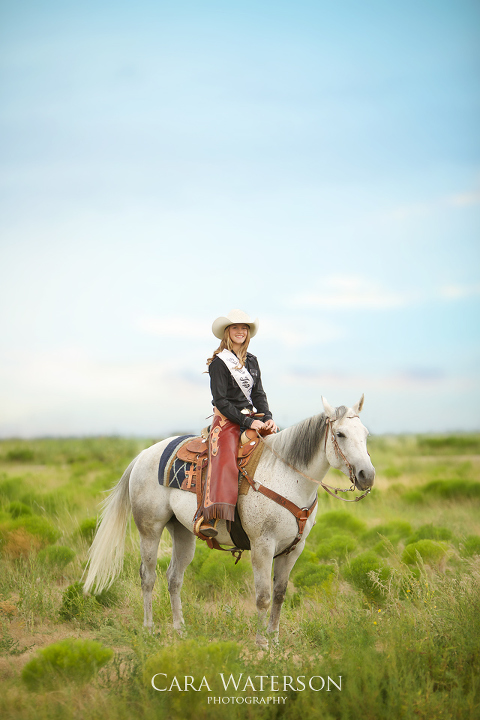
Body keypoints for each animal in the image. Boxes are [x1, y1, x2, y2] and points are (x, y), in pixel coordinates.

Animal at [83, 394, 376, 648]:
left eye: (365, 434)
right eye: (340, 434)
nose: (367, 475)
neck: (286, 476)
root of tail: (142, 455)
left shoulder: (294, 549)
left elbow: (280, 595)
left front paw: (275, 640)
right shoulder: (262, 546)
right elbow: (263, 597)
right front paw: (261, 643)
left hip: (183, 533)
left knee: (174, 578)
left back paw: (180, 629)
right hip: (149, 530)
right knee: (148, 576)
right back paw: (148, 629)